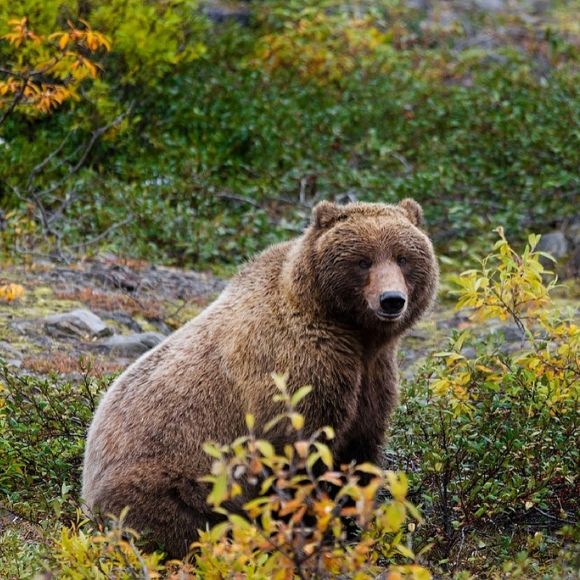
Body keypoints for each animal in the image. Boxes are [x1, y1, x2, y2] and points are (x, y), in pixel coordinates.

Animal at [80, 198, 436, 556]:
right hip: (172, 478)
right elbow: (299, 455)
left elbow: (359, 455)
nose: (391, 300)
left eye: (403, 257)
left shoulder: (372, 378)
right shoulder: (297, 369)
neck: (352, 333)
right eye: (363, 260)